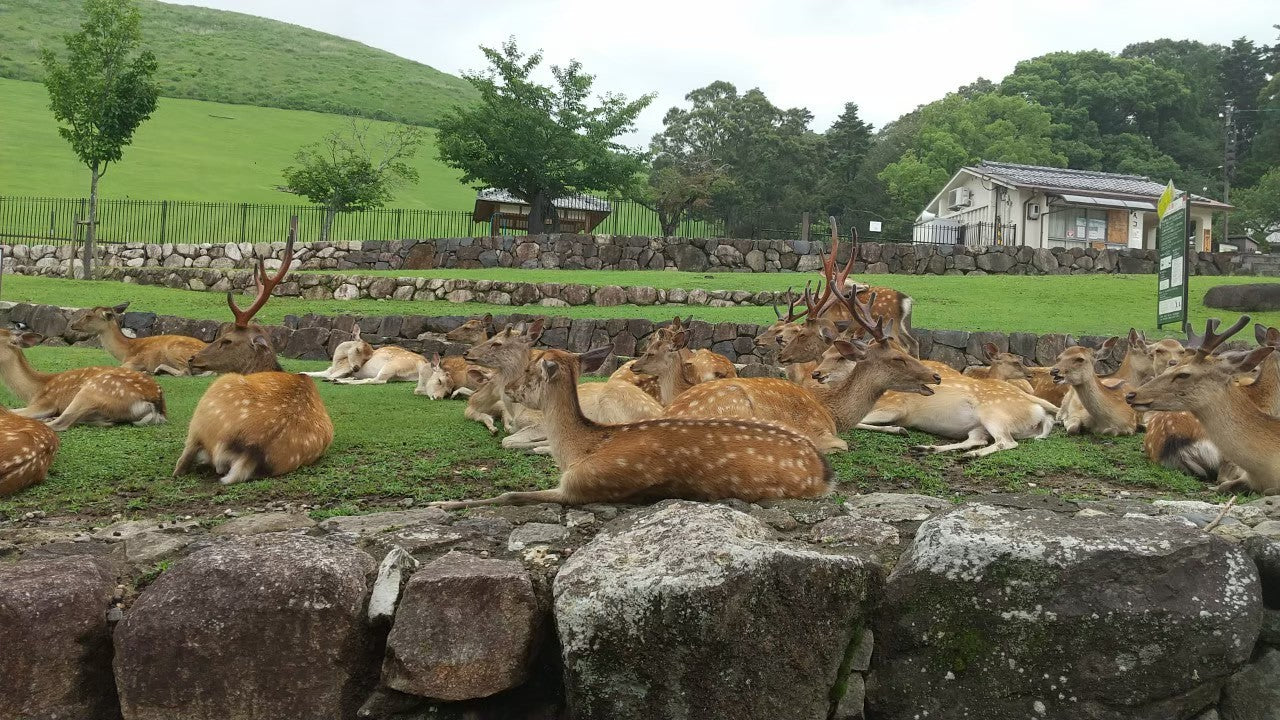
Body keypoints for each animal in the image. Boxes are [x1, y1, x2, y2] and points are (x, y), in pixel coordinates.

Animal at [0, 329, 167, 430]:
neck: (35, 390)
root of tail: (156, 403)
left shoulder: (46, 403)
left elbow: (11, 411)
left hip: (93, 390)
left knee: (61, 423)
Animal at [68, 302, 208, 375]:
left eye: (88, 315)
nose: (72, 325)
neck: (125, 352)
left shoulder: (136, 361)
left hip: (175, 350)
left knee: (186, 371)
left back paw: (155, 370)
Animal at [429, 348, 834, 509]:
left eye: (529, 371)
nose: (510, 390)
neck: (578, 449)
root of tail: (823, 472)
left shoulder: (583, 486)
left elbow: (510, 495)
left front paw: (442, 502)